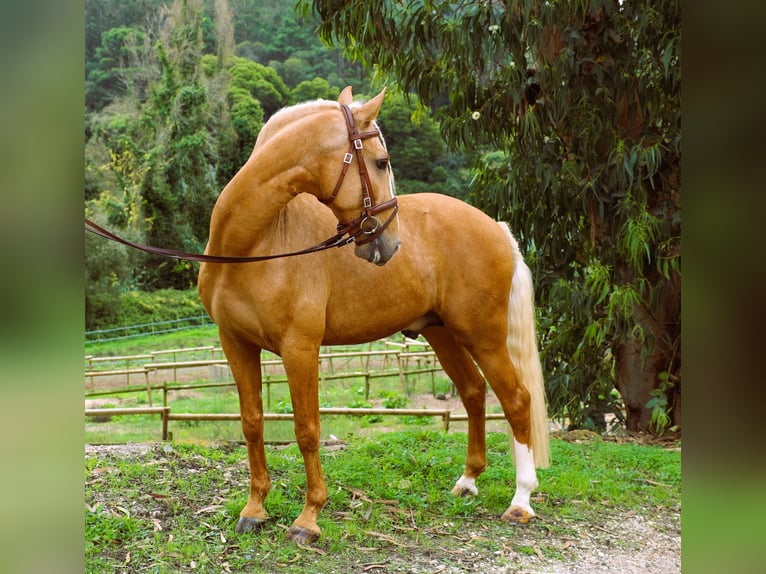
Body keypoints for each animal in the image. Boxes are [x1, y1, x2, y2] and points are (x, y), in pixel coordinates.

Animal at [195, 88, 548, 548]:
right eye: (381, 162)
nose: (389, 242)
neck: (255, 243)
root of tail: (497, 228)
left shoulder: (299, 348)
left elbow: (307, 430)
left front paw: (308, 519)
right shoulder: (235, 344)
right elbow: (252, 424)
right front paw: (254, 511)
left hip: (482, 335)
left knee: (516, 400)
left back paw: (521, 500)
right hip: (442, 334)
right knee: (473, 393)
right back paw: (467, 482)